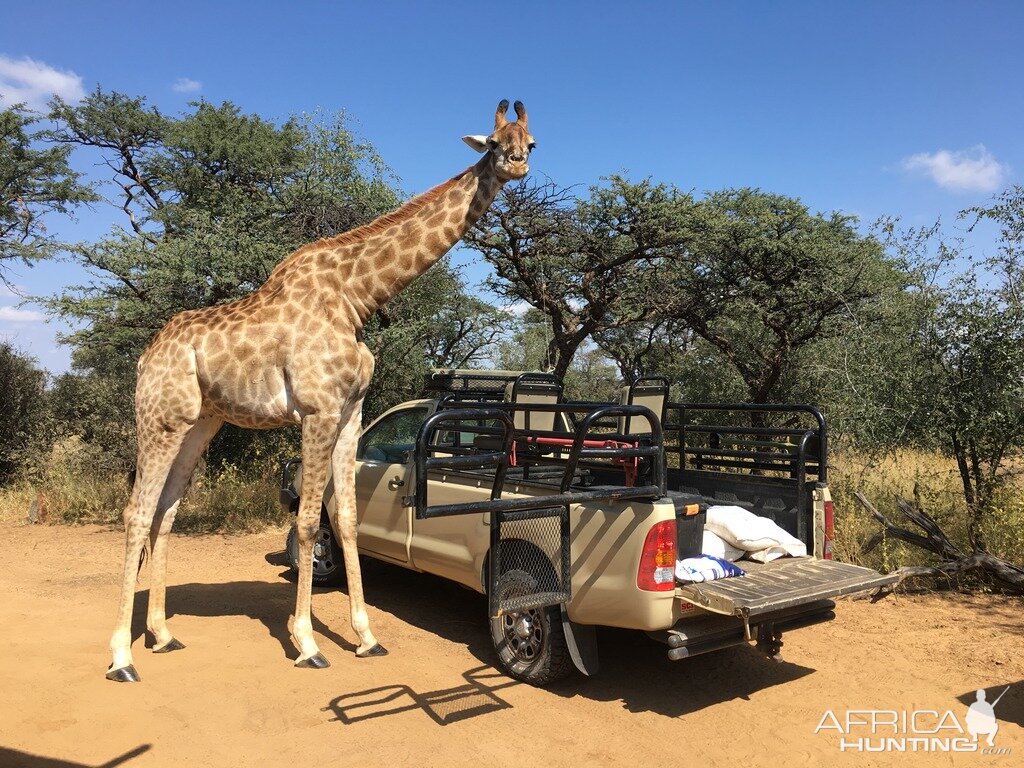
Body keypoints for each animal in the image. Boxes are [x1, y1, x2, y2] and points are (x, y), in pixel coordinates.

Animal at [105, 99, 536, 684]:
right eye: (493, 143)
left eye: (531, 141)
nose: (517, 164)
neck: (357, 297)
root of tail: (146, 356)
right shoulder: (316, 409)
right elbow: (310, 523)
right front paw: (308, 642)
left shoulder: (351, 411)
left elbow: (349, 520)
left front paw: (367, 637)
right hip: (159, 418)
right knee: (136, 513)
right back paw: (122, 656)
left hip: (200, 423)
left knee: (166, 512)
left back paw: (163, 635)